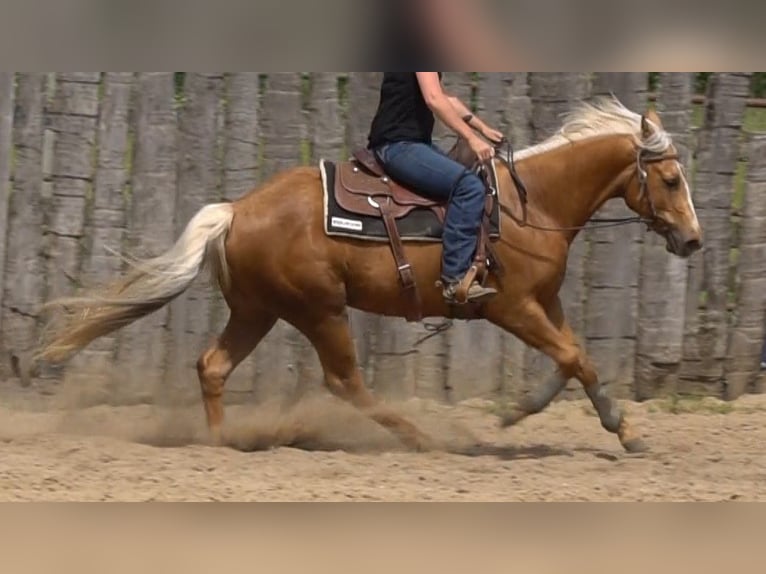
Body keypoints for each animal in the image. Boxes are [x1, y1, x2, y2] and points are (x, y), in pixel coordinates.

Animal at [33, 96, 702, 454]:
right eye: (670, 180)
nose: (693, 240)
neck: (529, 201)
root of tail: (237, 209)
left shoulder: (545, 302)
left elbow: (578, 359)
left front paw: (618, 430)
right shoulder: (509, 306)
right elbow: (570, 358)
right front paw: (515, 416)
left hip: (258, 309)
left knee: (213, 366)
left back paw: (222, 443)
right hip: (319, 310)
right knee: (345, 382)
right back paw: (420, 438)